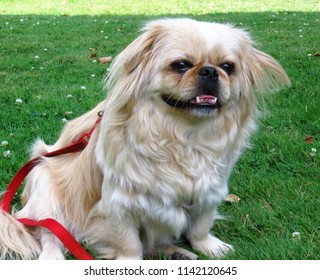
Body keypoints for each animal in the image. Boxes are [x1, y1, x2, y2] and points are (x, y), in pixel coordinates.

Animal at [0, 18, 290, 260]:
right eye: (181, 65)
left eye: (228, 67)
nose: (210, 71)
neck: (183, 136)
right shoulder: (119, 205)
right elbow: (129, 244)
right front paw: (129, 262)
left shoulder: (208, 192)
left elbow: (200, 226)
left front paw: (209, 246)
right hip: (43, 182)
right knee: (50, 233)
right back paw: (52, 258)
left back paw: (177, 253)